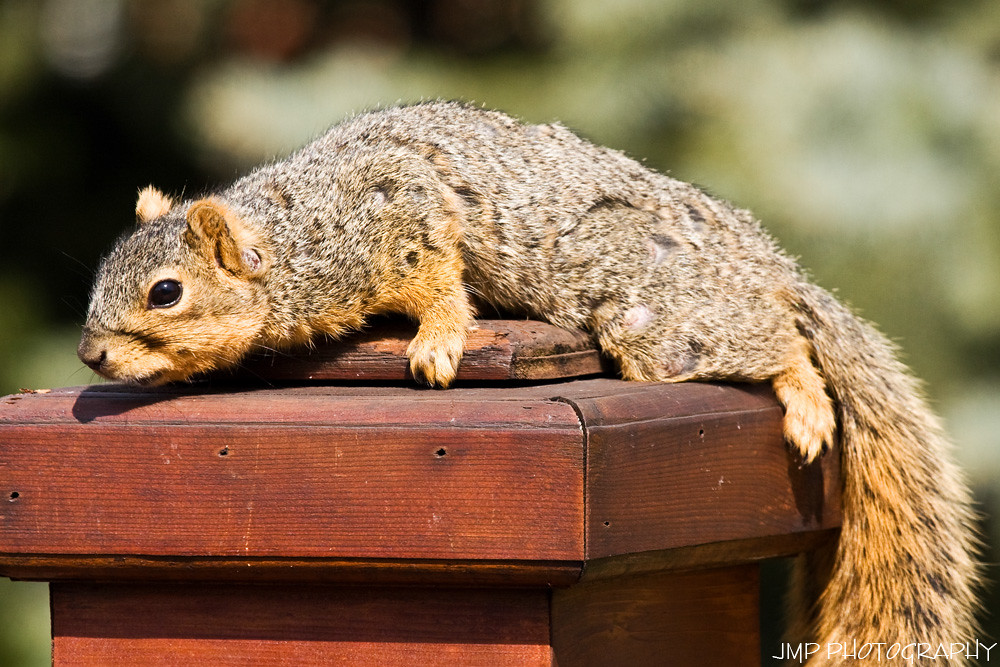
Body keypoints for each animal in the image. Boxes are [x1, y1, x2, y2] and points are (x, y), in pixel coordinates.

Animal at [78, 101, 979, 662]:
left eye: (166, 292)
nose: (90, 355)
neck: (288, 242)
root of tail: (761, 258)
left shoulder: (394, 215)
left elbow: (437, 278)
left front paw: (439, 343)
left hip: (659, 316)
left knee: (780, 337)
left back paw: (803, 395)